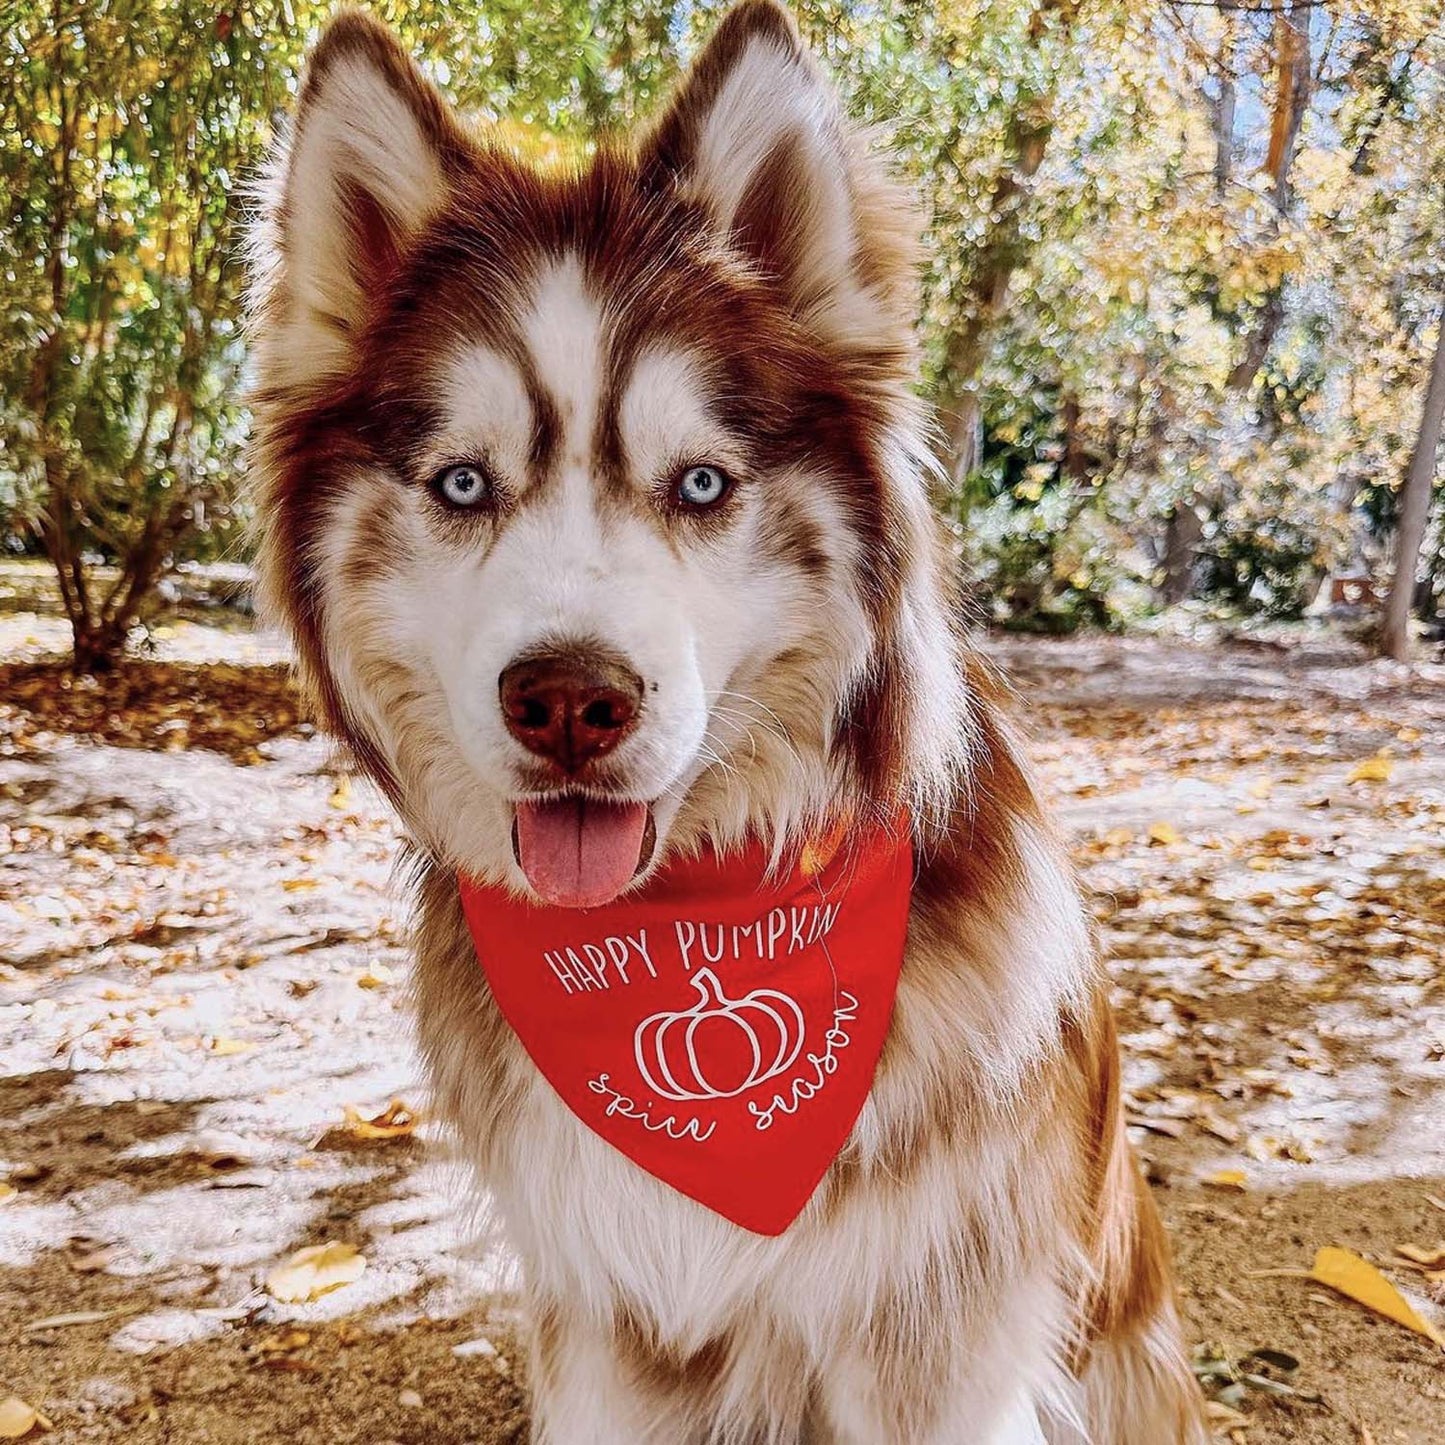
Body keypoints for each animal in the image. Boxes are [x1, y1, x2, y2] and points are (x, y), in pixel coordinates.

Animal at [245, 5, 1208, 1439]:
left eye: (700, 483)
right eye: (462, 484)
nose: (569, 701)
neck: (695, 916)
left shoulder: (937, 1341)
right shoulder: (610, 1332)